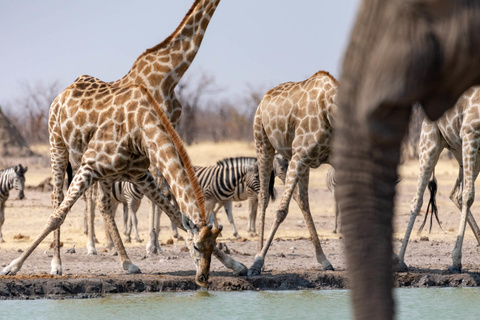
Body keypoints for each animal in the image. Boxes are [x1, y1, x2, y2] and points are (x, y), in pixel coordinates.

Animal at [248, 71, 338, 276]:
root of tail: (263, 99)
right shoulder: (300, 155)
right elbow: (281, 211)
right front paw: (257, 262)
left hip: (299, 161)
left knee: (303, 201)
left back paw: (324, 260)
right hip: (263, 143)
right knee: (264, 196)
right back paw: (257, 258)